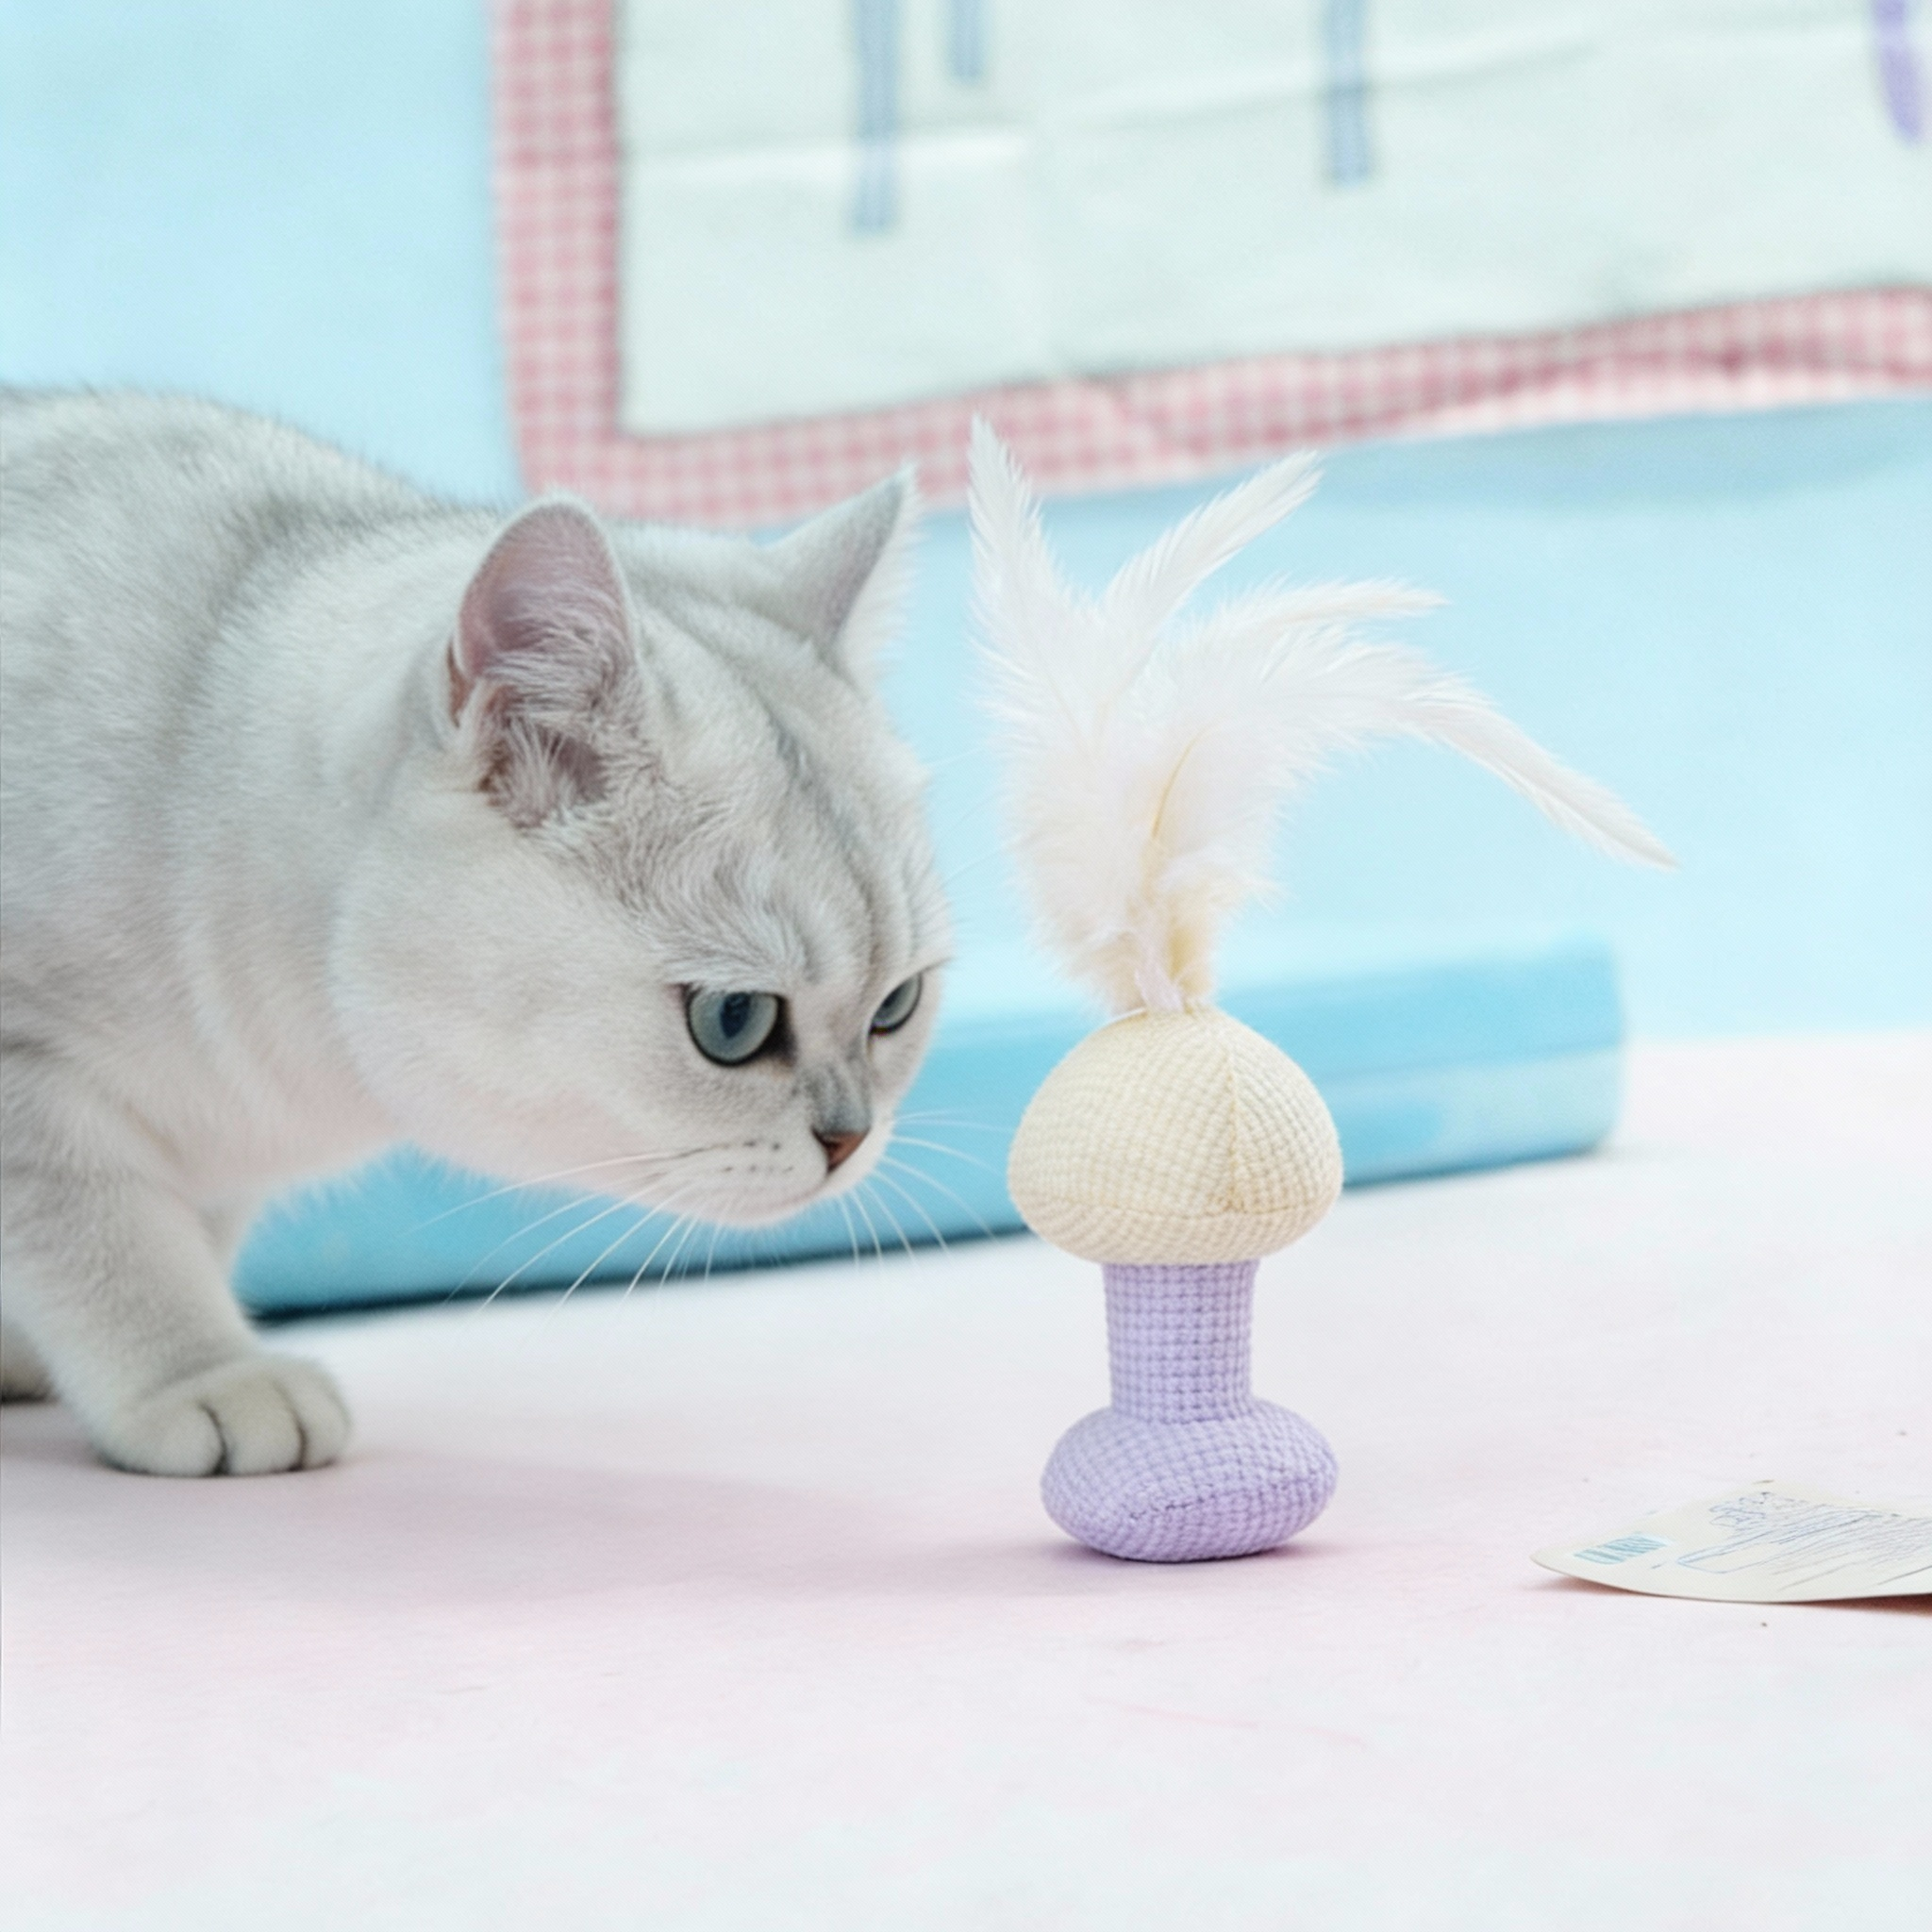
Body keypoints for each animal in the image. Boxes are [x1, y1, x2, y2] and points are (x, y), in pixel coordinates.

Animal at [0, 391, 949, 1477]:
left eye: (896, 1007)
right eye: (734, 1020)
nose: (850, 1137)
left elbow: (187, 1228)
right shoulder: (29, 1081)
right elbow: (108, 1239)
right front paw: (201, 1373)